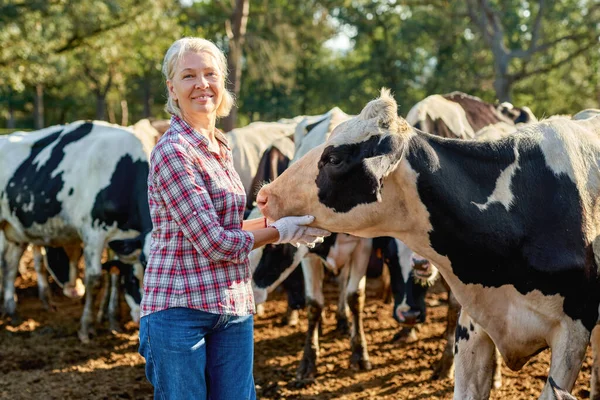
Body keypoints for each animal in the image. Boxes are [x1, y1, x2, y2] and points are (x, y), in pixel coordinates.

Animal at [1, 120, 151, 342]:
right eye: (133, 280)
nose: (142, 319)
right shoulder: (93, 232)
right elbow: (95, 279)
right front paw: (86, 328)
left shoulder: (119, 239)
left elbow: (113, 276)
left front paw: (113, 321)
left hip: (16, 229)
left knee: (10, 264)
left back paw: (12, 312)